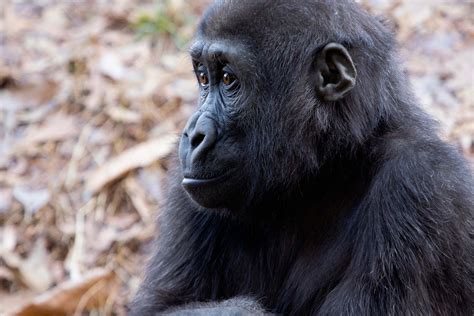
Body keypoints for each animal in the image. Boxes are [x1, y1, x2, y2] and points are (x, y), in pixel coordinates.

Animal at [131, 0, 474, 314]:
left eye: (228, 79)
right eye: (203, 78)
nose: (193, 135)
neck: (330, 170)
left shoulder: (420, 185)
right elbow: (160, 307)